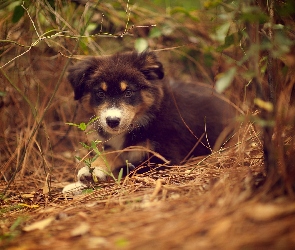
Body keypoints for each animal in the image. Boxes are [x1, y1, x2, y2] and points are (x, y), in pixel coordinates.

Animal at [62, 49, 236, 193]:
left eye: (128, 92)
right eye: (100, 93)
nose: (112, 121)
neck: (143, 120)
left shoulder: (164, 159)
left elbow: (128, 169)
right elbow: (111, 153)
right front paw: (89, 173)